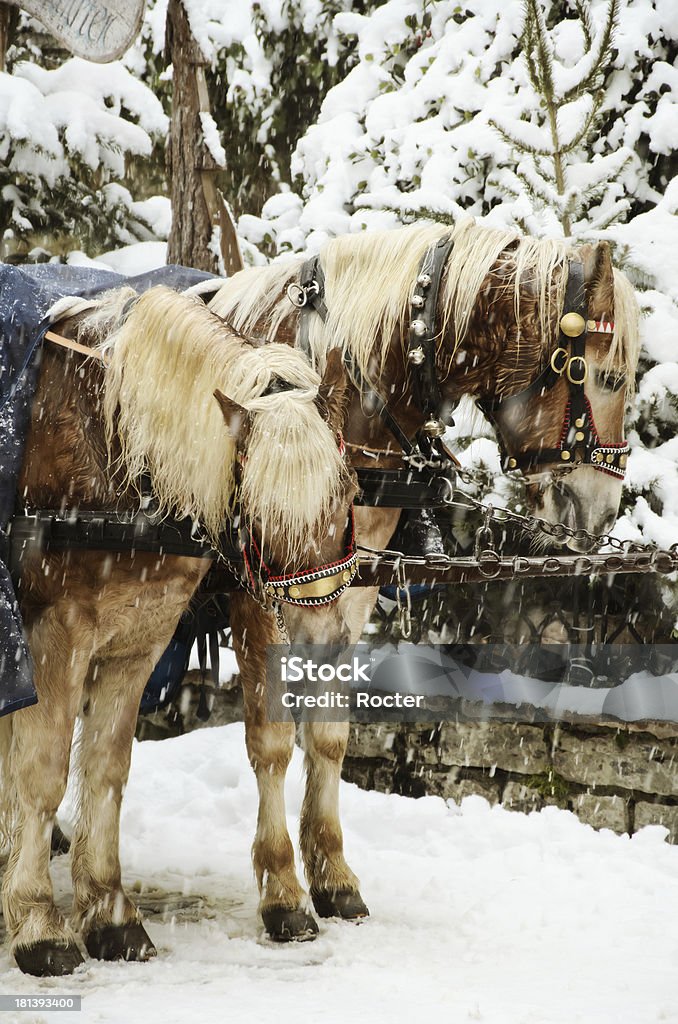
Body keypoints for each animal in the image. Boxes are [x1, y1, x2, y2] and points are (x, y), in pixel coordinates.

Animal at [0, 286, 358, 974]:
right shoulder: (53, 637)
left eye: (348, 492)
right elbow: (43, 774)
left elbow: (106, 769)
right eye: (262, 511)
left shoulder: (137, 640)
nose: (323, 640)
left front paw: (110, 915)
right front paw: (38, 923)